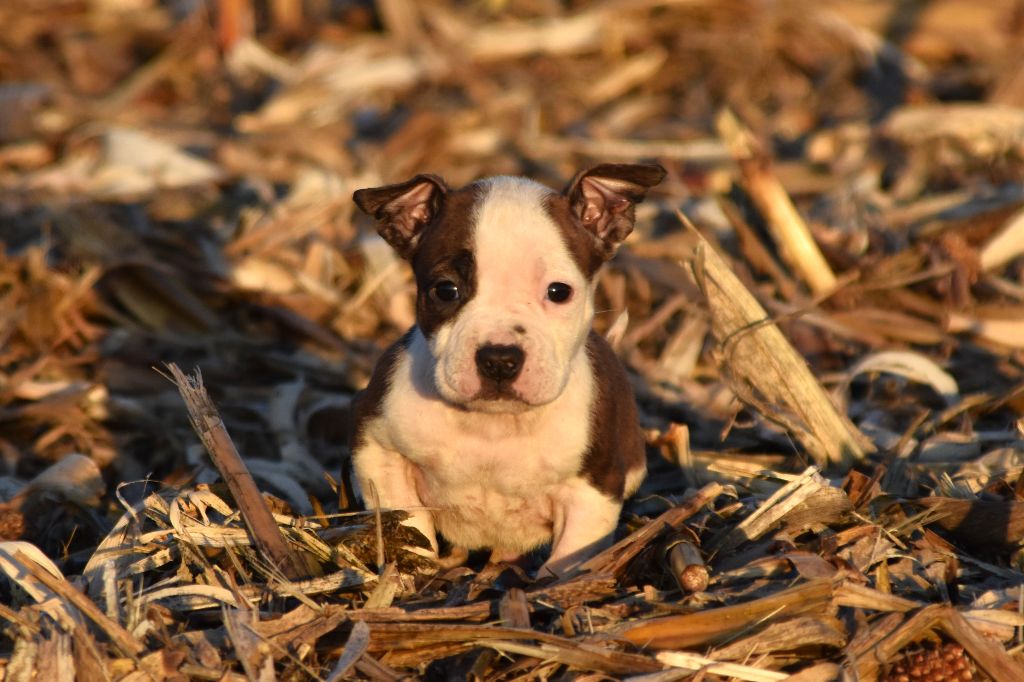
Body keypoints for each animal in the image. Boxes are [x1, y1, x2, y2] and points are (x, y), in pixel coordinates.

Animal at [348, 163, 663, 573]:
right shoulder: (378, 452)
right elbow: (410, 522)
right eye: (446, 290)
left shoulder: (593, 492)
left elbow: (568, 558)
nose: (499, 358)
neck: (494, 426)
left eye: (559, 292)